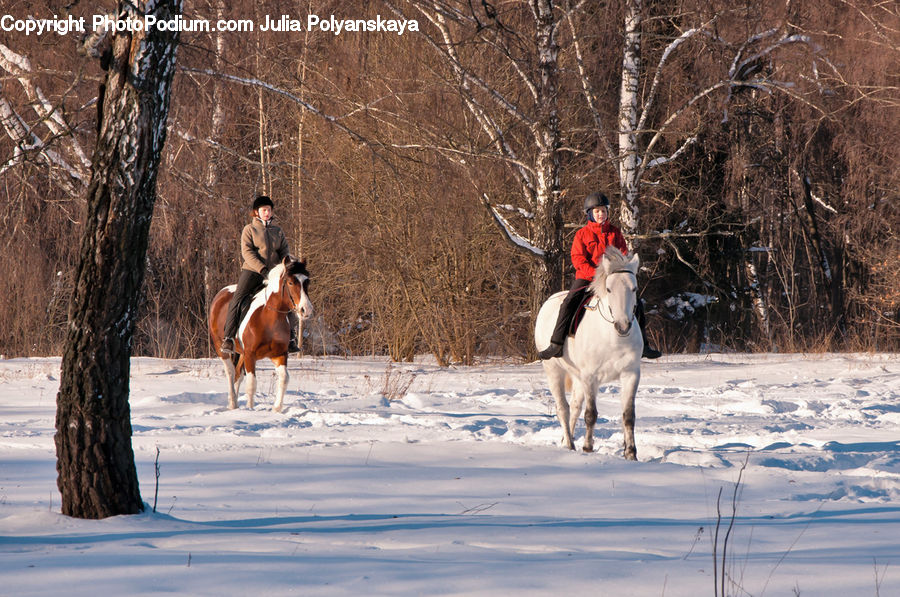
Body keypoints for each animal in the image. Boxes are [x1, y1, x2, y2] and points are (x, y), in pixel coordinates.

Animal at [208, 256, 313, 412]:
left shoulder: (279, 355)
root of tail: (221, 293)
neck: (269, 318)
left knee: (238, 375)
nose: (306, 310)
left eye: (307, 282)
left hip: (242, 354)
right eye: (290, 282)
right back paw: (232, 403)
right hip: (221, 348)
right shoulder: (250, 355)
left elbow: (284, 378)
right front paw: (251, 410)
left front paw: (276, 409)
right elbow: (252, 384)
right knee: (230, 372)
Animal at [534, 247, 643, 459]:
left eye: (634, 289)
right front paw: (588, 448)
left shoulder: (630, 374)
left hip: (578, 378)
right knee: (563, 408)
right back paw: (569, 444)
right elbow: (591, 414)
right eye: (609, 289)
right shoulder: (591, 377)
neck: (612, 338)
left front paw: (631, 454)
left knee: (574, 407)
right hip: (553, 370)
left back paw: (566, 441)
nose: (623, 325)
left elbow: (628, 416)